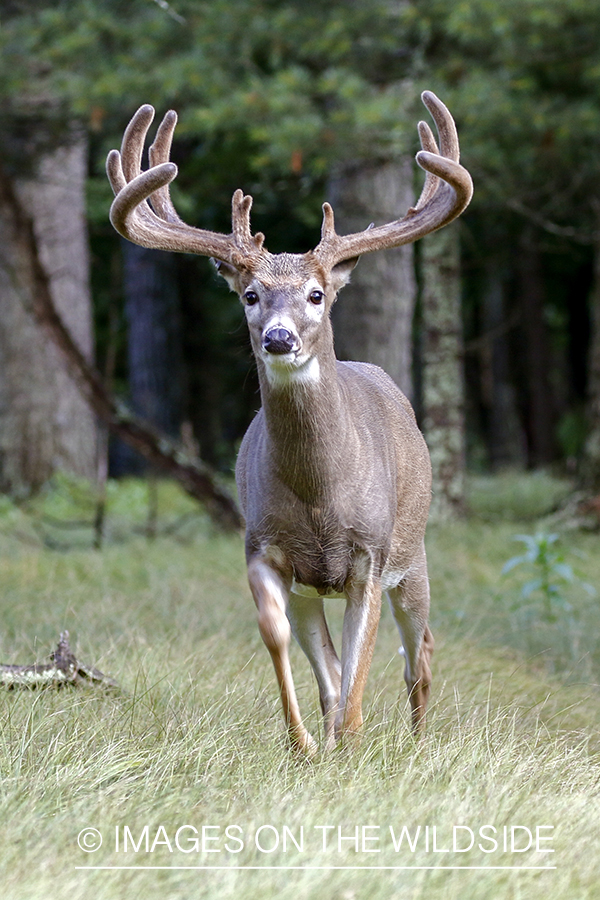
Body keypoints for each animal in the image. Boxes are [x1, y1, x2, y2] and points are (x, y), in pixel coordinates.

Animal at [106, 91, 474, 756]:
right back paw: (329, 737)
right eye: (250, 294)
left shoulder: (371, 553)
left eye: (315, 295)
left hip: (415, 552)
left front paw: (350, 739)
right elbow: (283, 639)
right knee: (329, 661)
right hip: (317, 586)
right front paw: (304, 741)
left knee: (420, 651)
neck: (320, 493)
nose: (278, 338)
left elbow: (361, 659)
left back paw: (412, 740)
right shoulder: (263, 545)